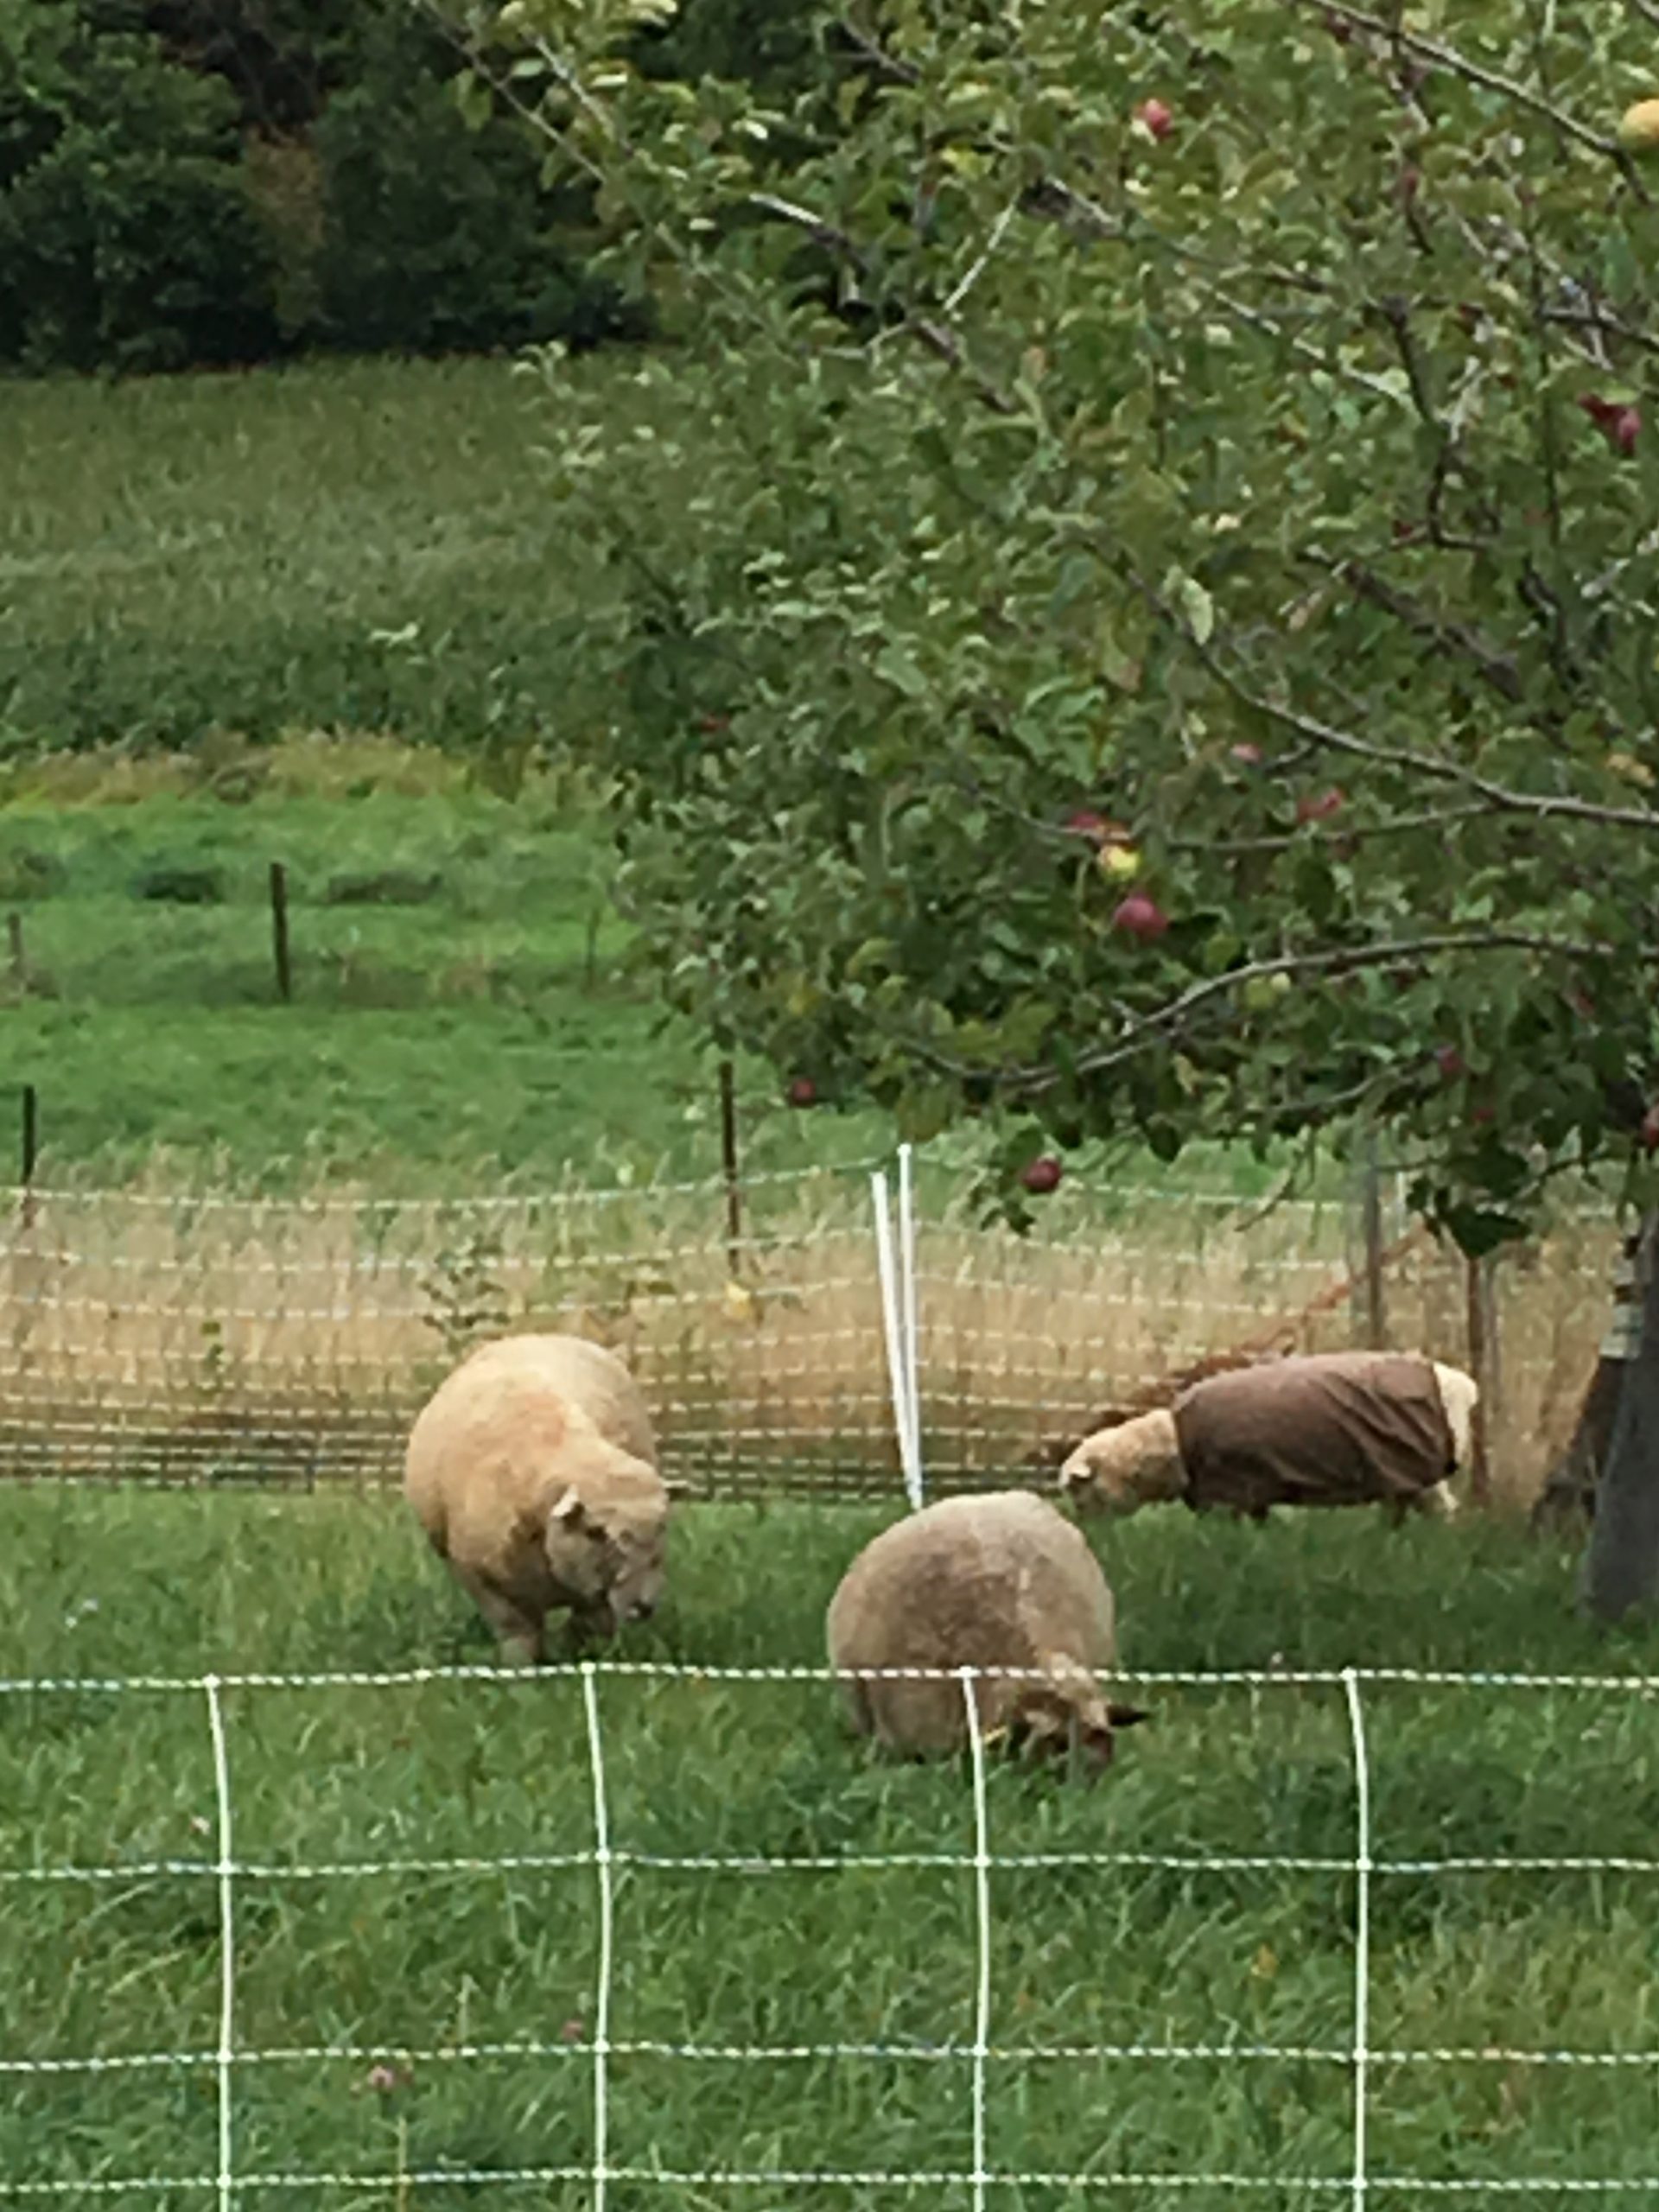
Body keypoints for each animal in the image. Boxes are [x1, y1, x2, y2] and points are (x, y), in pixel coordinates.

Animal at [407, 1327, 677, 1663]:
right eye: (595, 1532)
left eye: (662, 1529)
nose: (644, 1607)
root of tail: (533, 1335)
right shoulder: (478, 1575)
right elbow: (518, 1631)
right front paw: (522, 1666)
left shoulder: (593, 1594)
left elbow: (590, 1624)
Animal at [1057, 1336, 1478, 1530]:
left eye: (1079, 1489)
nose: (1085, 1530)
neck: (1173, 1438)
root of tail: (1459, 1384)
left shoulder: (1234, 1492)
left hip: (1420, 1469)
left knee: (1443, 1511)